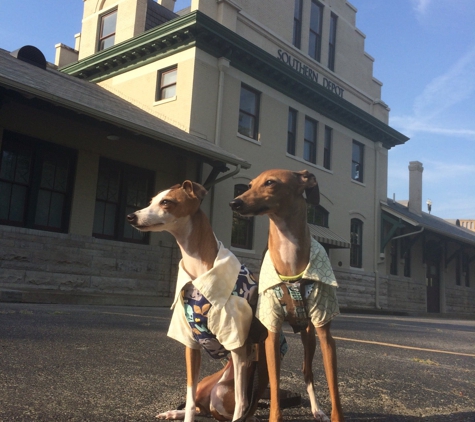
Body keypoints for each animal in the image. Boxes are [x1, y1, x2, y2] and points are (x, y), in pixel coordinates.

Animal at [126, 182, 268, 422]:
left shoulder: (239, 346)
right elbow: (190, 398)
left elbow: (241, 402)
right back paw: (174, 411)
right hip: (206, 386)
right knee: (200, 406)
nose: (131, 216)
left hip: (221, 392)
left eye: (166, 202)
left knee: (228, 407)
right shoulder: (190, 344)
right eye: (151, 200)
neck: (199, 269)